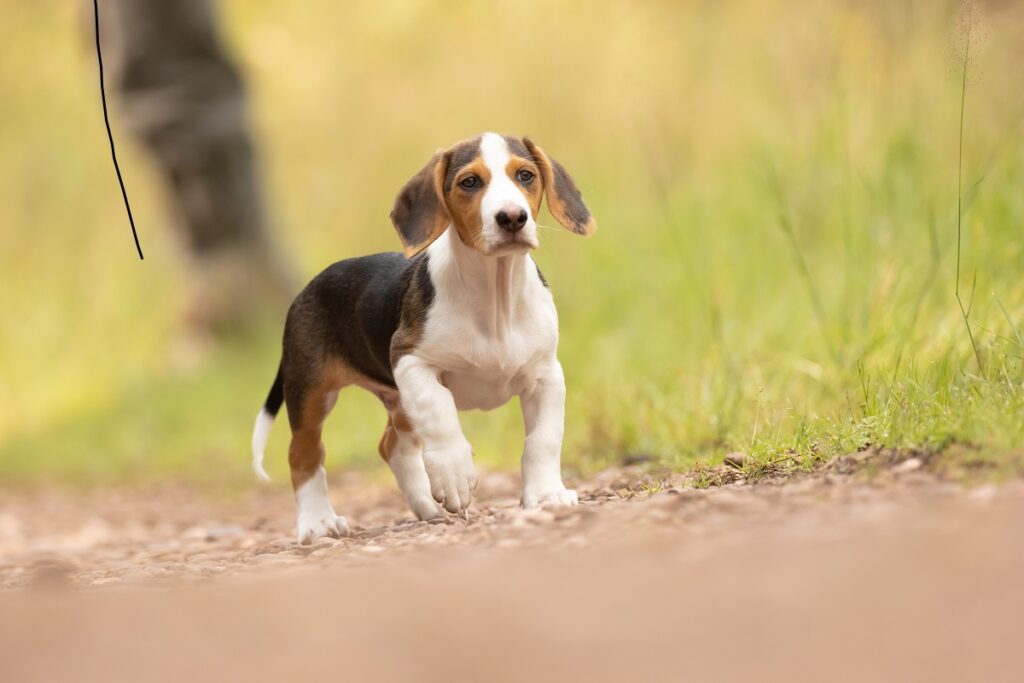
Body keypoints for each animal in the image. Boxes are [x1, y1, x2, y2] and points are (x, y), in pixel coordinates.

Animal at [250, 131, 598, 540]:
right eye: (470, 182)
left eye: (525, 175)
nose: (513, 217)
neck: (494, 296)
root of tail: (307, 288)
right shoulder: (412, 361)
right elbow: (440, 414)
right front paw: (454, 475)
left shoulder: (546, 376)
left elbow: (543, 440)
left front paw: (545, 495)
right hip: (311, 390)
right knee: (304, 455)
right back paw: (317, 522)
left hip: (397, 400)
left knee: (391, 445)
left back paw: (426, 506)